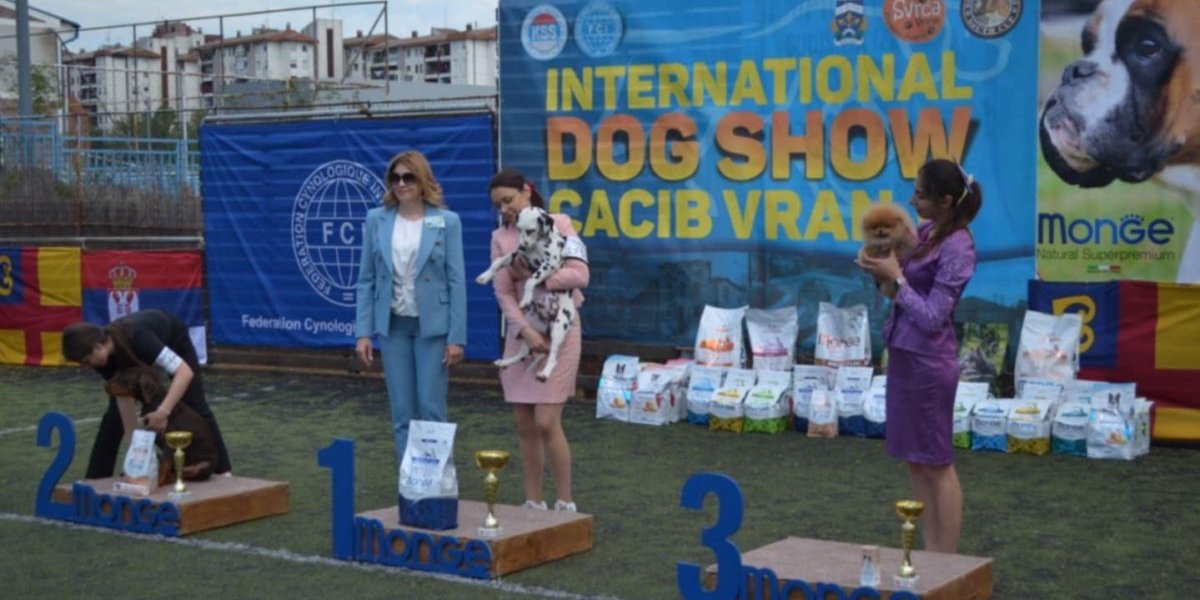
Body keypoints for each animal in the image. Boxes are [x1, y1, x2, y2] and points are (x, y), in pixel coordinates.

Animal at [475, 206, 578, 381]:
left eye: (530, 230)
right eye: (518, 229)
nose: (522, 245)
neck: (538, 243)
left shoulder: (550, 264)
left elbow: (531, 279)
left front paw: (526, 298)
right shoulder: (517, 255)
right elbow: (498, 261)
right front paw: (485, 276)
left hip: (559, 327)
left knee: (553, 357)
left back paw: (545, 373)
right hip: (528, 326)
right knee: (524, 353)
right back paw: (505, 362)